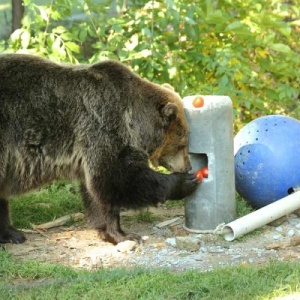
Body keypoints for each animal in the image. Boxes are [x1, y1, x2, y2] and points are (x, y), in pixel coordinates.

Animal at [0, 54, 199, 244]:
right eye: (183, 143)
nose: (188, 166)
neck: (134, 122)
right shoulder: (103, 126)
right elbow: (114, 180)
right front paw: (124, 234)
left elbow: (96, 193)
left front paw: (108, 231)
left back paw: (11, 234)